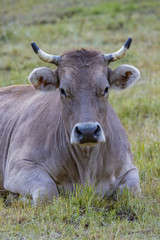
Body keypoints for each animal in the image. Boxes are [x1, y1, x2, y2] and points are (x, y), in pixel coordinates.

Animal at [0, 38, 140, 205]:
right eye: (62, 90)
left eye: (106, 89)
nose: (87, 131)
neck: (86, 166)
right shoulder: (19, 166)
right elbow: (47, 193)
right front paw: (16, 198)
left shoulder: (129, 167)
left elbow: (131, 192)